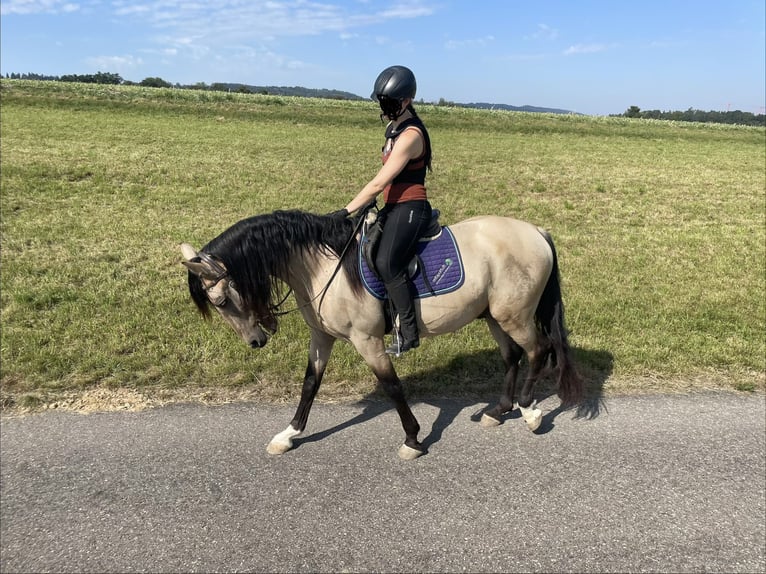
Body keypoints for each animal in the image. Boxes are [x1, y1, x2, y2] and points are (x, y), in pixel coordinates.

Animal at [180, 208, 583, 459]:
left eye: (221, 300)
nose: (256, 341)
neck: (321, 266)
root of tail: (536, 232)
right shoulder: (321, 337)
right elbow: (310, 384)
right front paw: (288, 434)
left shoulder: (367, 340)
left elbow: (391, 386)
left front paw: (413, 439)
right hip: (494, 316)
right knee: (512, 356)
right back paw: (498, 411)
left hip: (515, 316)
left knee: (538, 350)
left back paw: (530, 411)